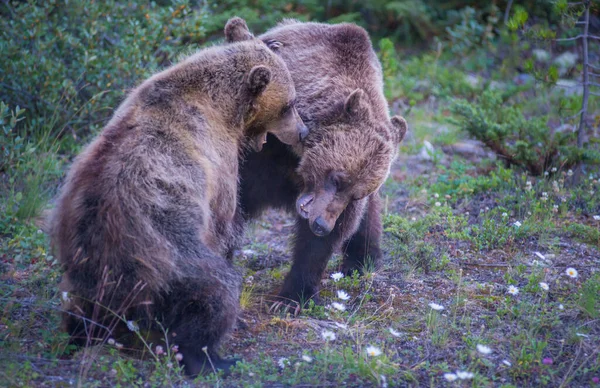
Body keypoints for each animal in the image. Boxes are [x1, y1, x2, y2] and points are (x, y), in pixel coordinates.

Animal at [49, 18, 308, 376]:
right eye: (290, 104)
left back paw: (78, 337)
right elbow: (225, 223)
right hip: (171, 260)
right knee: (215, 293)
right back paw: (213, 357)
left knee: (79, 309)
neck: (222, 108)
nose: (303, 132)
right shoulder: (216, 164)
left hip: (82, 262)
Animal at [225, 19, 408, 310]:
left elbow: (322, 243)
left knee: (369, 220)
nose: (322, 224)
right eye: (337, 178)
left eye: (356, 193)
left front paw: (292, 296)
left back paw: (362, 260)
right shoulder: (261, 153)